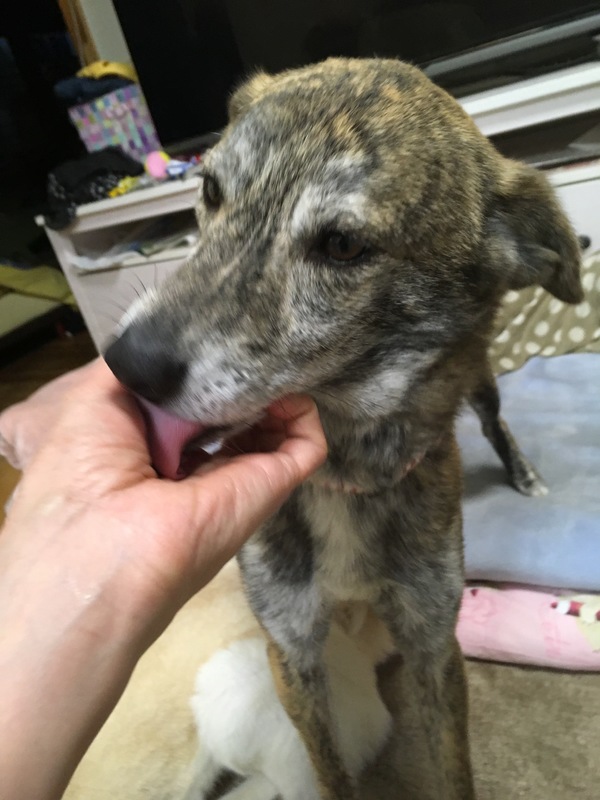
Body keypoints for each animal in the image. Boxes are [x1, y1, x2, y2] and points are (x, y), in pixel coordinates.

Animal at [104, 58, 583, 799]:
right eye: (210, 189)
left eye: (344, 245)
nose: (128, 364)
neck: (344, 470)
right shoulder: (292, 647)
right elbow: (326, 770)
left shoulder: (432, 640)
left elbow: (453, 766)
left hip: (480, 377)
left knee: (495, 418)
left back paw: (524, 474)